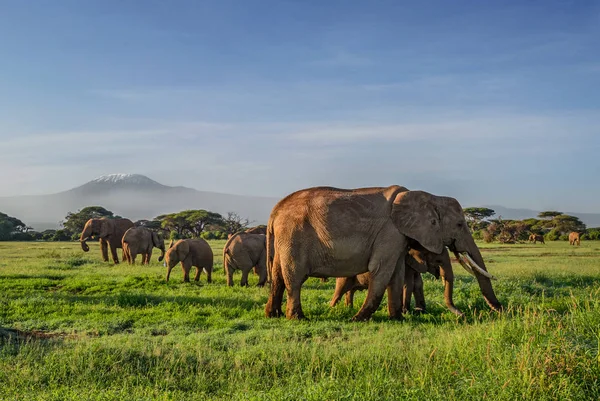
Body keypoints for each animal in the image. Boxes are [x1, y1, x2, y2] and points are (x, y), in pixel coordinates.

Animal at [264, 186, 500, 320]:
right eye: (460, 224)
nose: (500, 310)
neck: (430, 196)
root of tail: (274, 211)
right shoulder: (390, 232)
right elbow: (381, 269)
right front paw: (358, 319)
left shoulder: (398, 237)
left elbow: (396, 273)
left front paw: (397, 319)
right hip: (294, 236)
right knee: (294, 278)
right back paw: (298, 318)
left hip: (284, 240)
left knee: (277, 276)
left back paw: (273, 315)